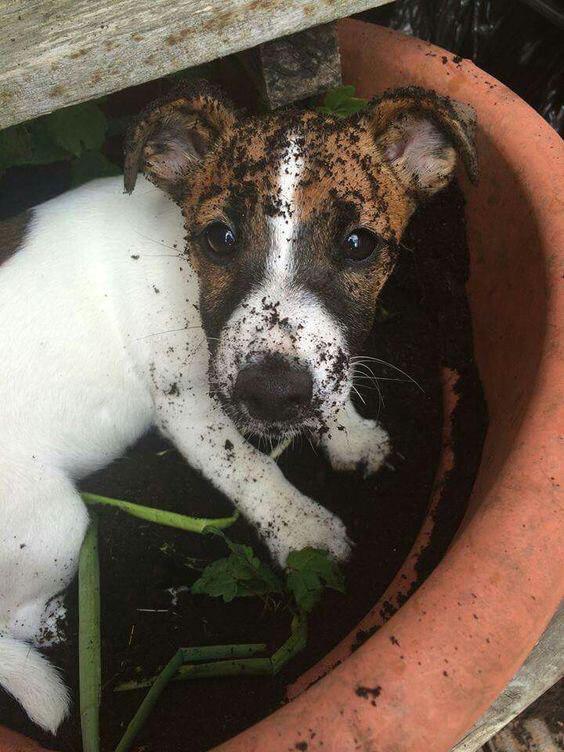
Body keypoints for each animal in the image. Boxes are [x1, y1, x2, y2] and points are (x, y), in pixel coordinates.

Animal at [0, 83, 476, 736]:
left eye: (358, 245)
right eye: (219, 238)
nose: (272, 394)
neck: (177, 260)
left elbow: (331, 379)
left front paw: (349, 434)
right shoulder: (187, 401)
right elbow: (249, 467)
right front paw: (302, 530)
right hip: (52, 523)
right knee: (13, 620)